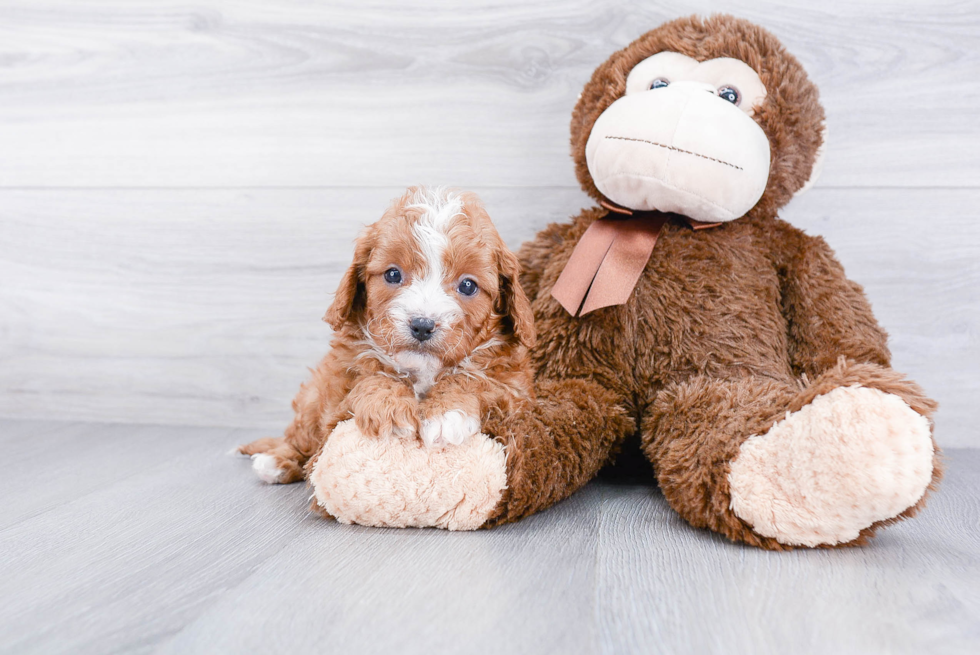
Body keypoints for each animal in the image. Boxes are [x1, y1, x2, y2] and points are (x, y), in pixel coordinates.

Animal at [238, 187, 536, 484]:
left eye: (468, 286)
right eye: (393, 274)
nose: (422, 325)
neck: (423, 371)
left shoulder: (513, 389)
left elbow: (473, 379)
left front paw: (445, 414)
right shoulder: (341, 375)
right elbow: (372, 375)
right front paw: (389, 410)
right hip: (312, 397)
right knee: (302, 435)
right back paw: (277, 460)